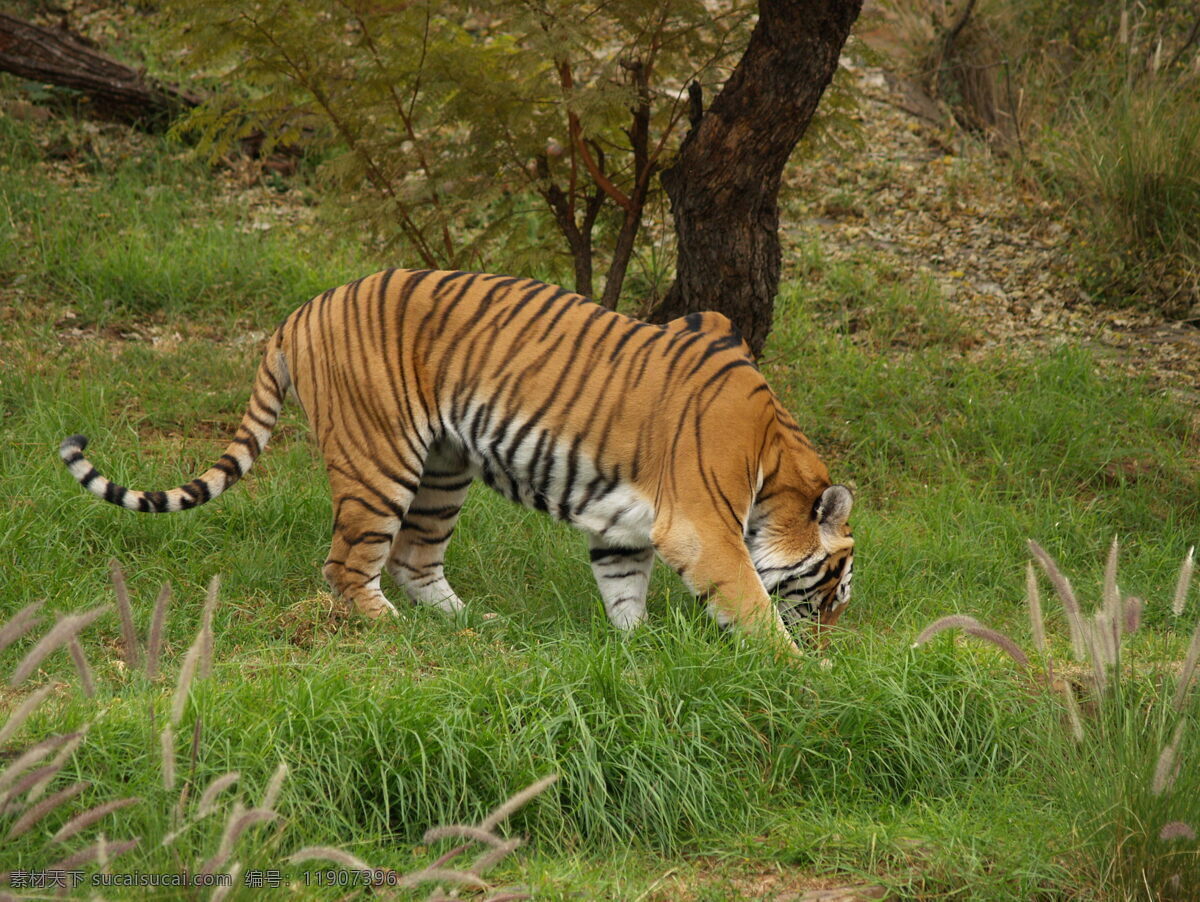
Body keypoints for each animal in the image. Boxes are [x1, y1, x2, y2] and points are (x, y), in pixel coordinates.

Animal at [60, 266, 854, 647]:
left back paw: (472, 625)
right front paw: (794, 670)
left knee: (414, 559)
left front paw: (639, 651)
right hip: (380, 462)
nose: (829, 640)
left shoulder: (625, 527)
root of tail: (300, 310)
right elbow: (749, 602)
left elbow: (625, 588)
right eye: (833, 592)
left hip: (444, 469)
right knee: (349, 566)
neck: (775, 461)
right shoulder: (701, 527)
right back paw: (389, 628)